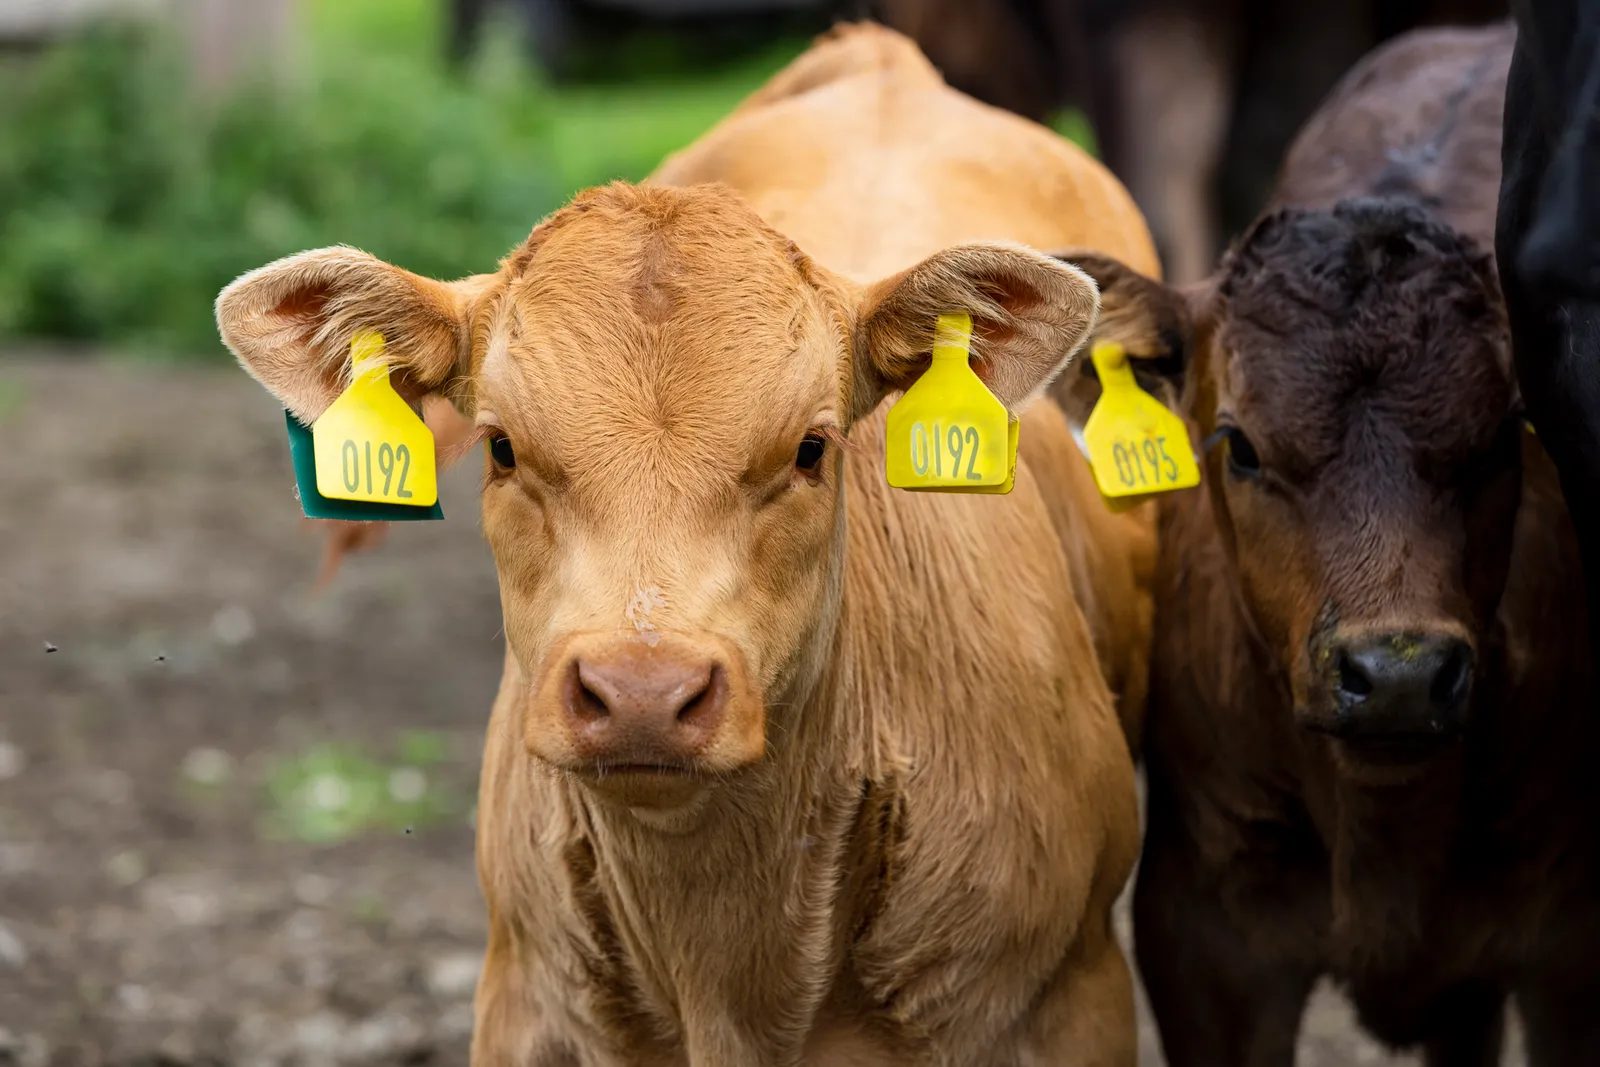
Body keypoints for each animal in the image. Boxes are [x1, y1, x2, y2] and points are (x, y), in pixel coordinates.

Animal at [222, 24, 1152, 1067]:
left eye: (811, 447)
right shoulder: (523, 1000)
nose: (642, 693)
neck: (726, 969)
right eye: (501, 446)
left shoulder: (1076, 991)